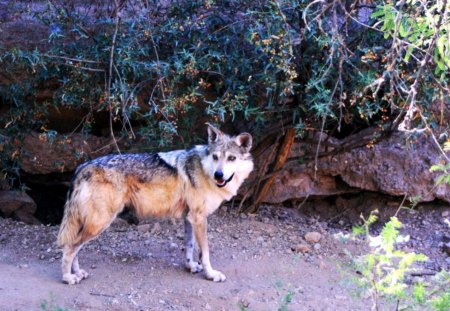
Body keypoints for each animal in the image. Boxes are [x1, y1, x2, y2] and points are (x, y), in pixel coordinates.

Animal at [56, 123, 253, 286]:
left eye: (232, 158)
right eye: (215, 157)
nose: (219, 175)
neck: (204, 169)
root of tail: (82, 167)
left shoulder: (190, 218)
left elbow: (189, 245)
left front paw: (190, 266)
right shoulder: (199, 218)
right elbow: (205, 252)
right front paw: (211, 274)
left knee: (75, 247)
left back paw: (77, 273)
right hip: (99, 223)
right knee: (69, 248)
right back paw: (68, 278)